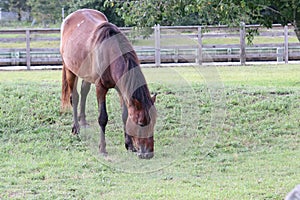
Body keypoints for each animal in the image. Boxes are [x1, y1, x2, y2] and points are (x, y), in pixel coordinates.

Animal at [59, 9, 157, 159]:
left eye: (154, 122)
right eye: (141, 123)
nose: (148, 153)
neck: (110, 54)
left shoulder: (121, 89)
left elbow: (124, 115)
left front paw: (129, 145)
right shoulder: (100, 88)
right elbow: (102, 118)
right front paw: (102, 148)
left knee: (84, 91)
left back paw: (83, 121)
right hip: (71, 71)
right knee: (74, 97)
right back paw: (76, 128)